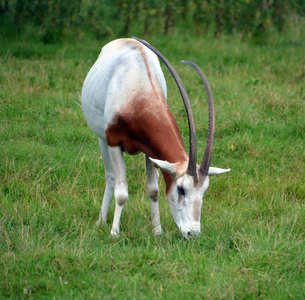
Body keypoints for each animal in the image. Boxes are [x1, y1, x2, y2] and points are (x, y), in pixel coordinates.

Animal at [82, 37, 229, 239]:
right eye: (180, 188)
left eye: (204, 190)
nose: (193, 233)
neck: (138, 95)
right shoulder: (114, 142)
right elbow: (121, 193)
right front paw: (114, 233)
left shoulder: (150, 151)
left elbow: (153, 189)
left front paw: (157, 230)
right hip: (102, 139)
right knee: (110, 176)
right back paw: (102, 221)